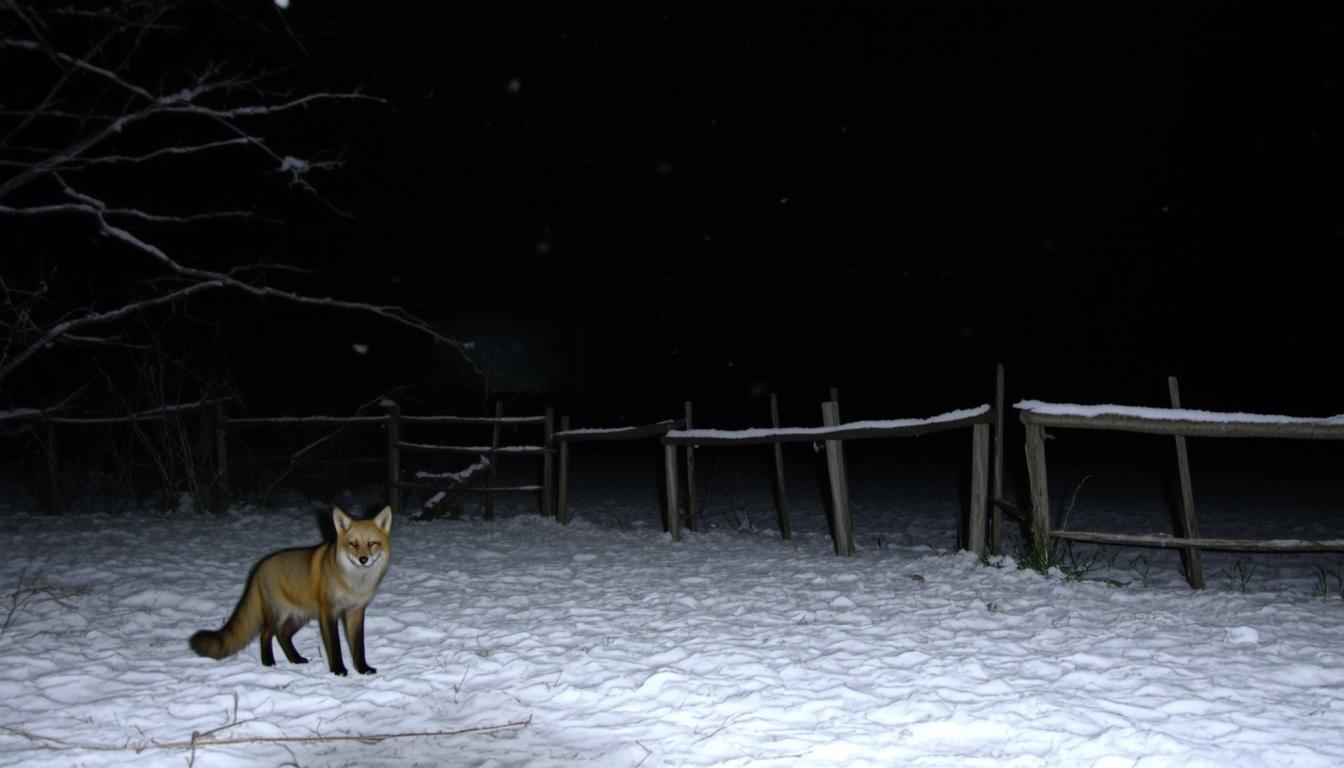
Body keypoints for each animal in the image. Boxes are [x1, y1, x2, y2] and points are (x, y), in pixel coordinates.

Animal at [189, 505, 392, 676]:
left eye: (372, 543)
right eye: (353, 544)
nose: (363, 559)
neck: (354, 585)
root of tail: (259, 567)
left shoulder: (355, 612)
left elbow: (358, 647)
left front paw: (363, 669)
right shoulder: (329, 612)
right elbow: (335, 646)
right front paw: (338, 670)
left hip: (298, 617)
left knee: (283, 636)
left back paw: (295, 659)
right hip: (277, 615)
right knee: (266, 634)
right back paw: (268, 662)